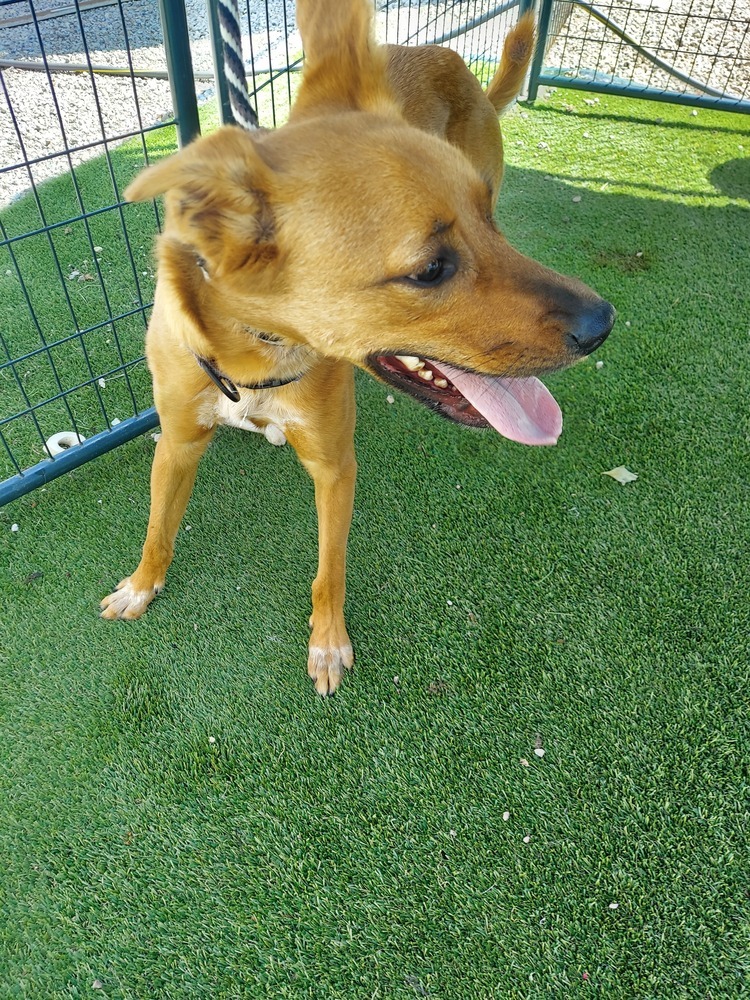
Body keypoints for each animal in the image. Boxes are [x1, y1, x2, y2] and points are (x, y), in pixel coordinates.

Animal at [101, 1, 616, 696]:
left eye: (487, 222)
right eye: (430, 269)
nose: (603, 323)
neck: (256, 357)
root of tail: (443, 55)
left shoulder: (334, 467)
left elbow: (329, 569)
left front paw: (326, 642)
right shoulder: (178, 440)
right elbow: (158, 527)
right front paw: (142, 585)